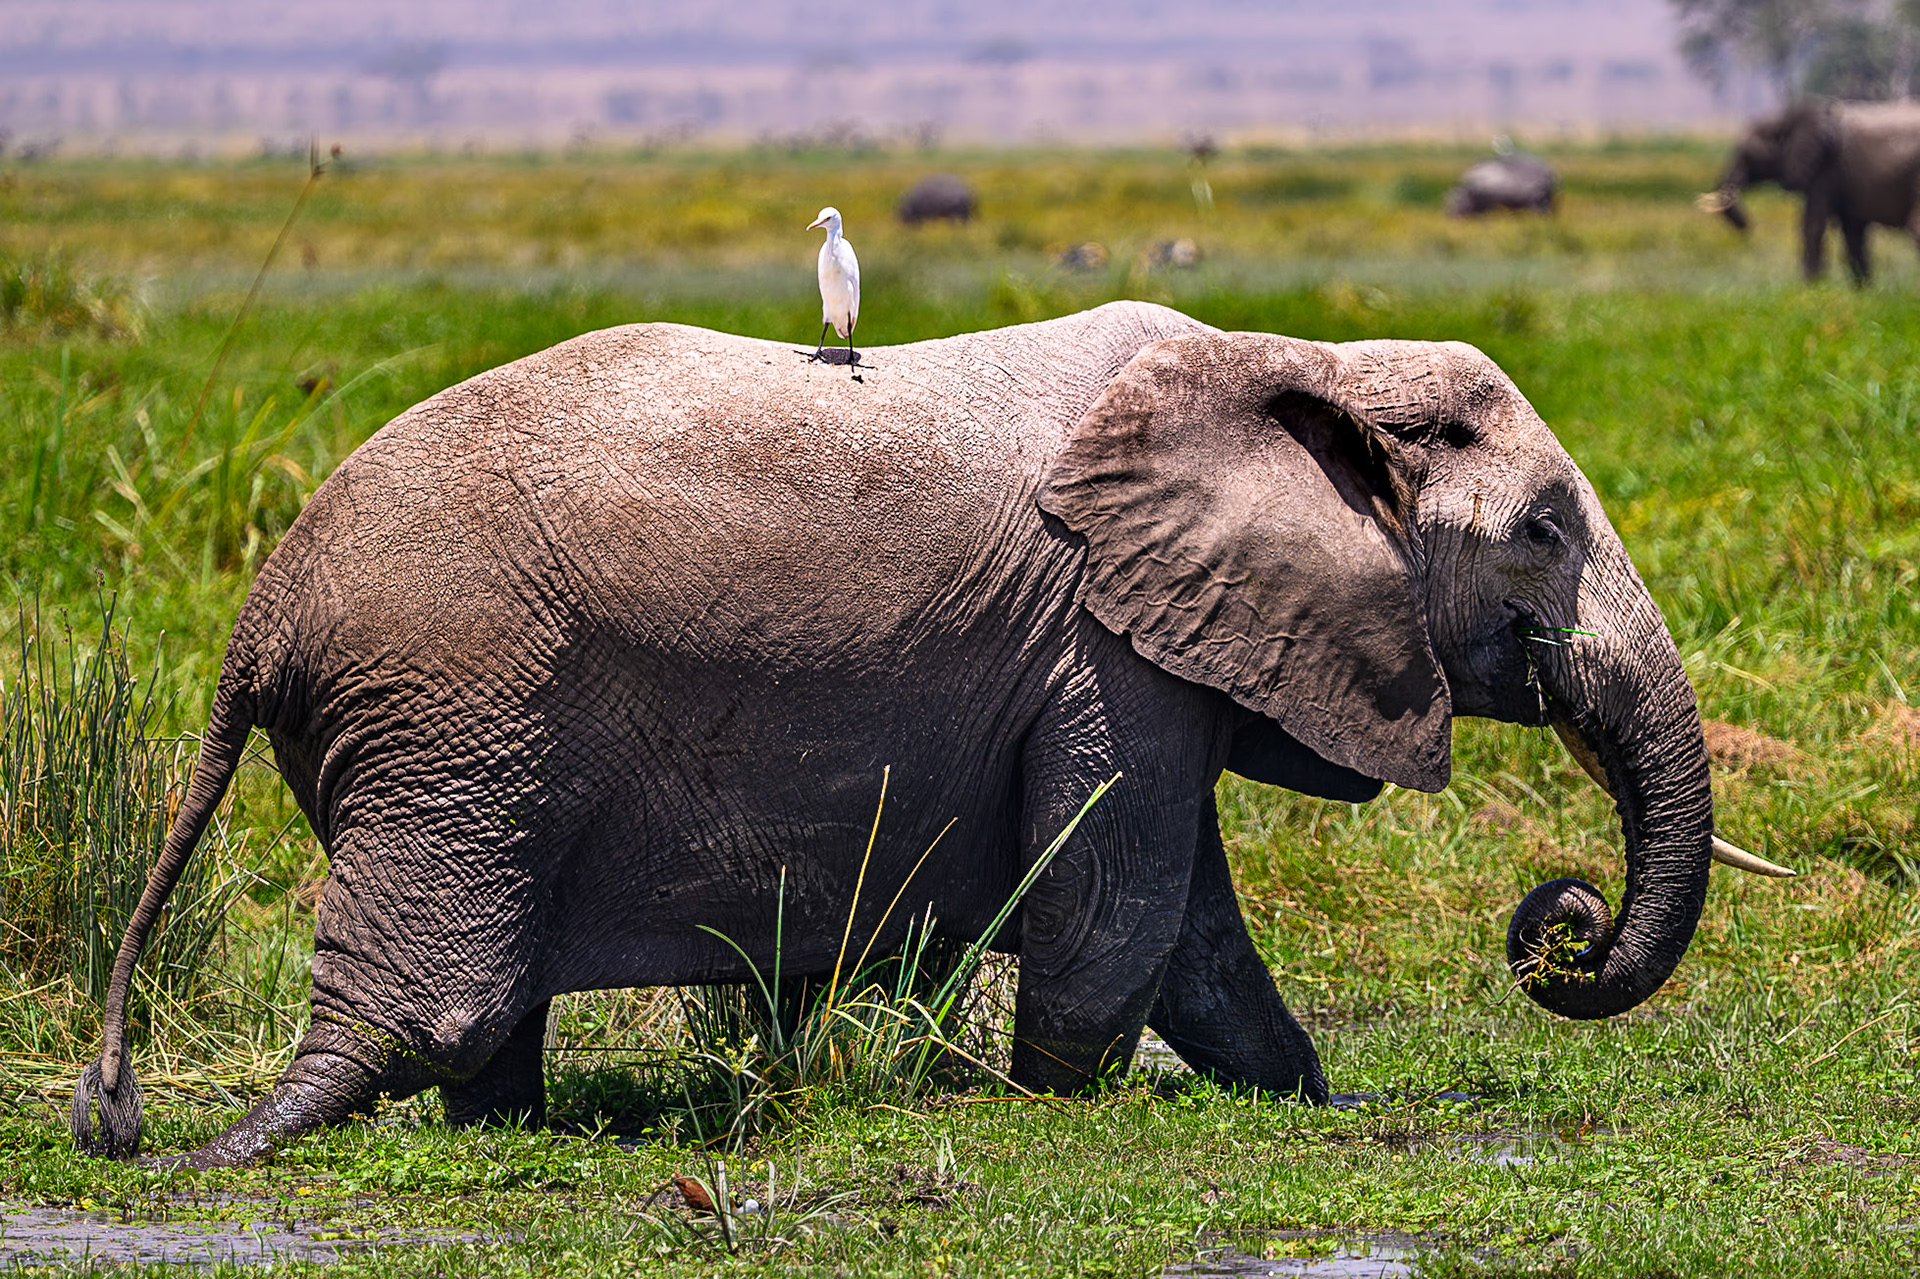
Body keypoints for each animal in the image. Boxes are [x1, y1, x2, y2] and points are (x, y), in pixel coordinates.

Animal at [70, 301, 1775, 1169]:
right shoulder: (1100, 635)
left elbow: (1194, 929)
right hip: (457, 711)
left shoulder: (1140, 639)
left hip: (452, 731)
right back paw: (225, 1151)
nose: (1560, 923)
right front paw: (1043, 1105)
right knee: (428, 1000)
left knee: (482, 1014)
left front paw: (1320, 1105)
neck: (1295, 357)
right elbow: (1119, 899)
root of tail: (262, 614)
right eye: (1545, 530)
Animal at [1700, 98, 1920, 284]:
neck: (1788, 117)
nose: (1748, 227)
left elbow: (1813, 224)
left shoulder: (1827, 169)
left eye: (1748, 154)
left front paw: (1810, 287)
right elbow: (1853, 232)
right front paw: (1863, 292)